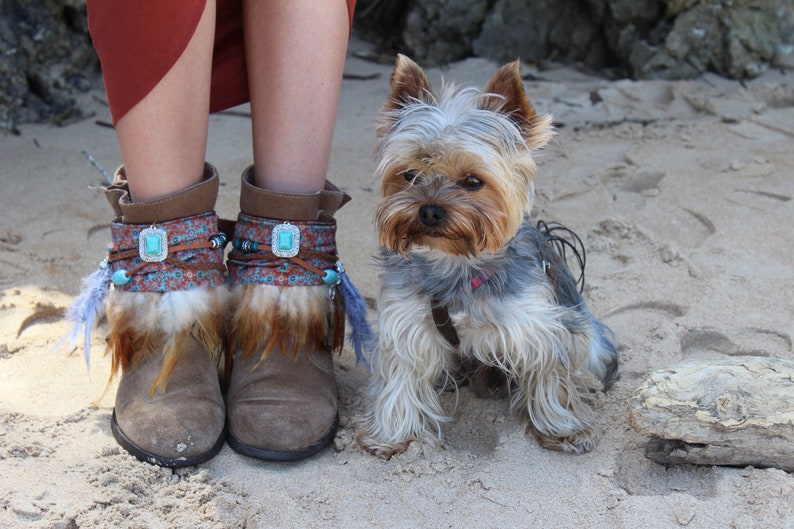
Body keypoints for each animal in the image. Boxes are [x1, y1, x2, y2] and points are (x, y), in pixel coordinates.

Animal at [360, 55, 620, 456]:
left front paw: (563, 429)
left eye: (472, 181)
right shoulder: (405, 326)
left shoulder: (540, 328)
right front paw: (394, 436)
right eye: (410, 175)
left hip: (589, 339)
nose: (430, 211)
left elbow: (551, 378)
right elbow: (400, 380)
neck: (456, 266)